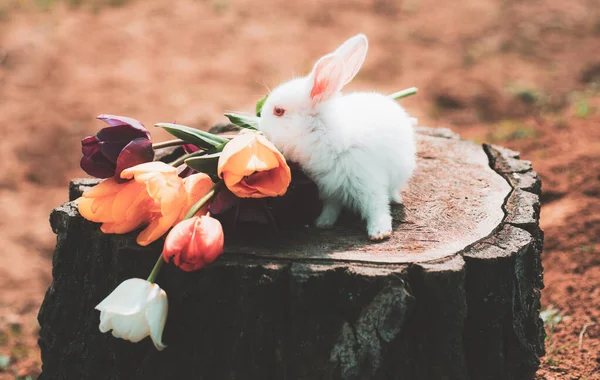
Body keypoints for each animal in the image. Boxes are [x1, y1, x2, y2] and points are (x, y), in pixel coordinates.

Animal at [258, 33, 418, 240]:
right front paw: (323, 223)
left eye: (278, 111)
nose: (261, 128)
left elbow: (377, 208)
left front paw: (379, 233)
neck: (322, 135)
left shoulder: (370, 183)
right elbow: (331, 208)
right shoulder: (329, 189)